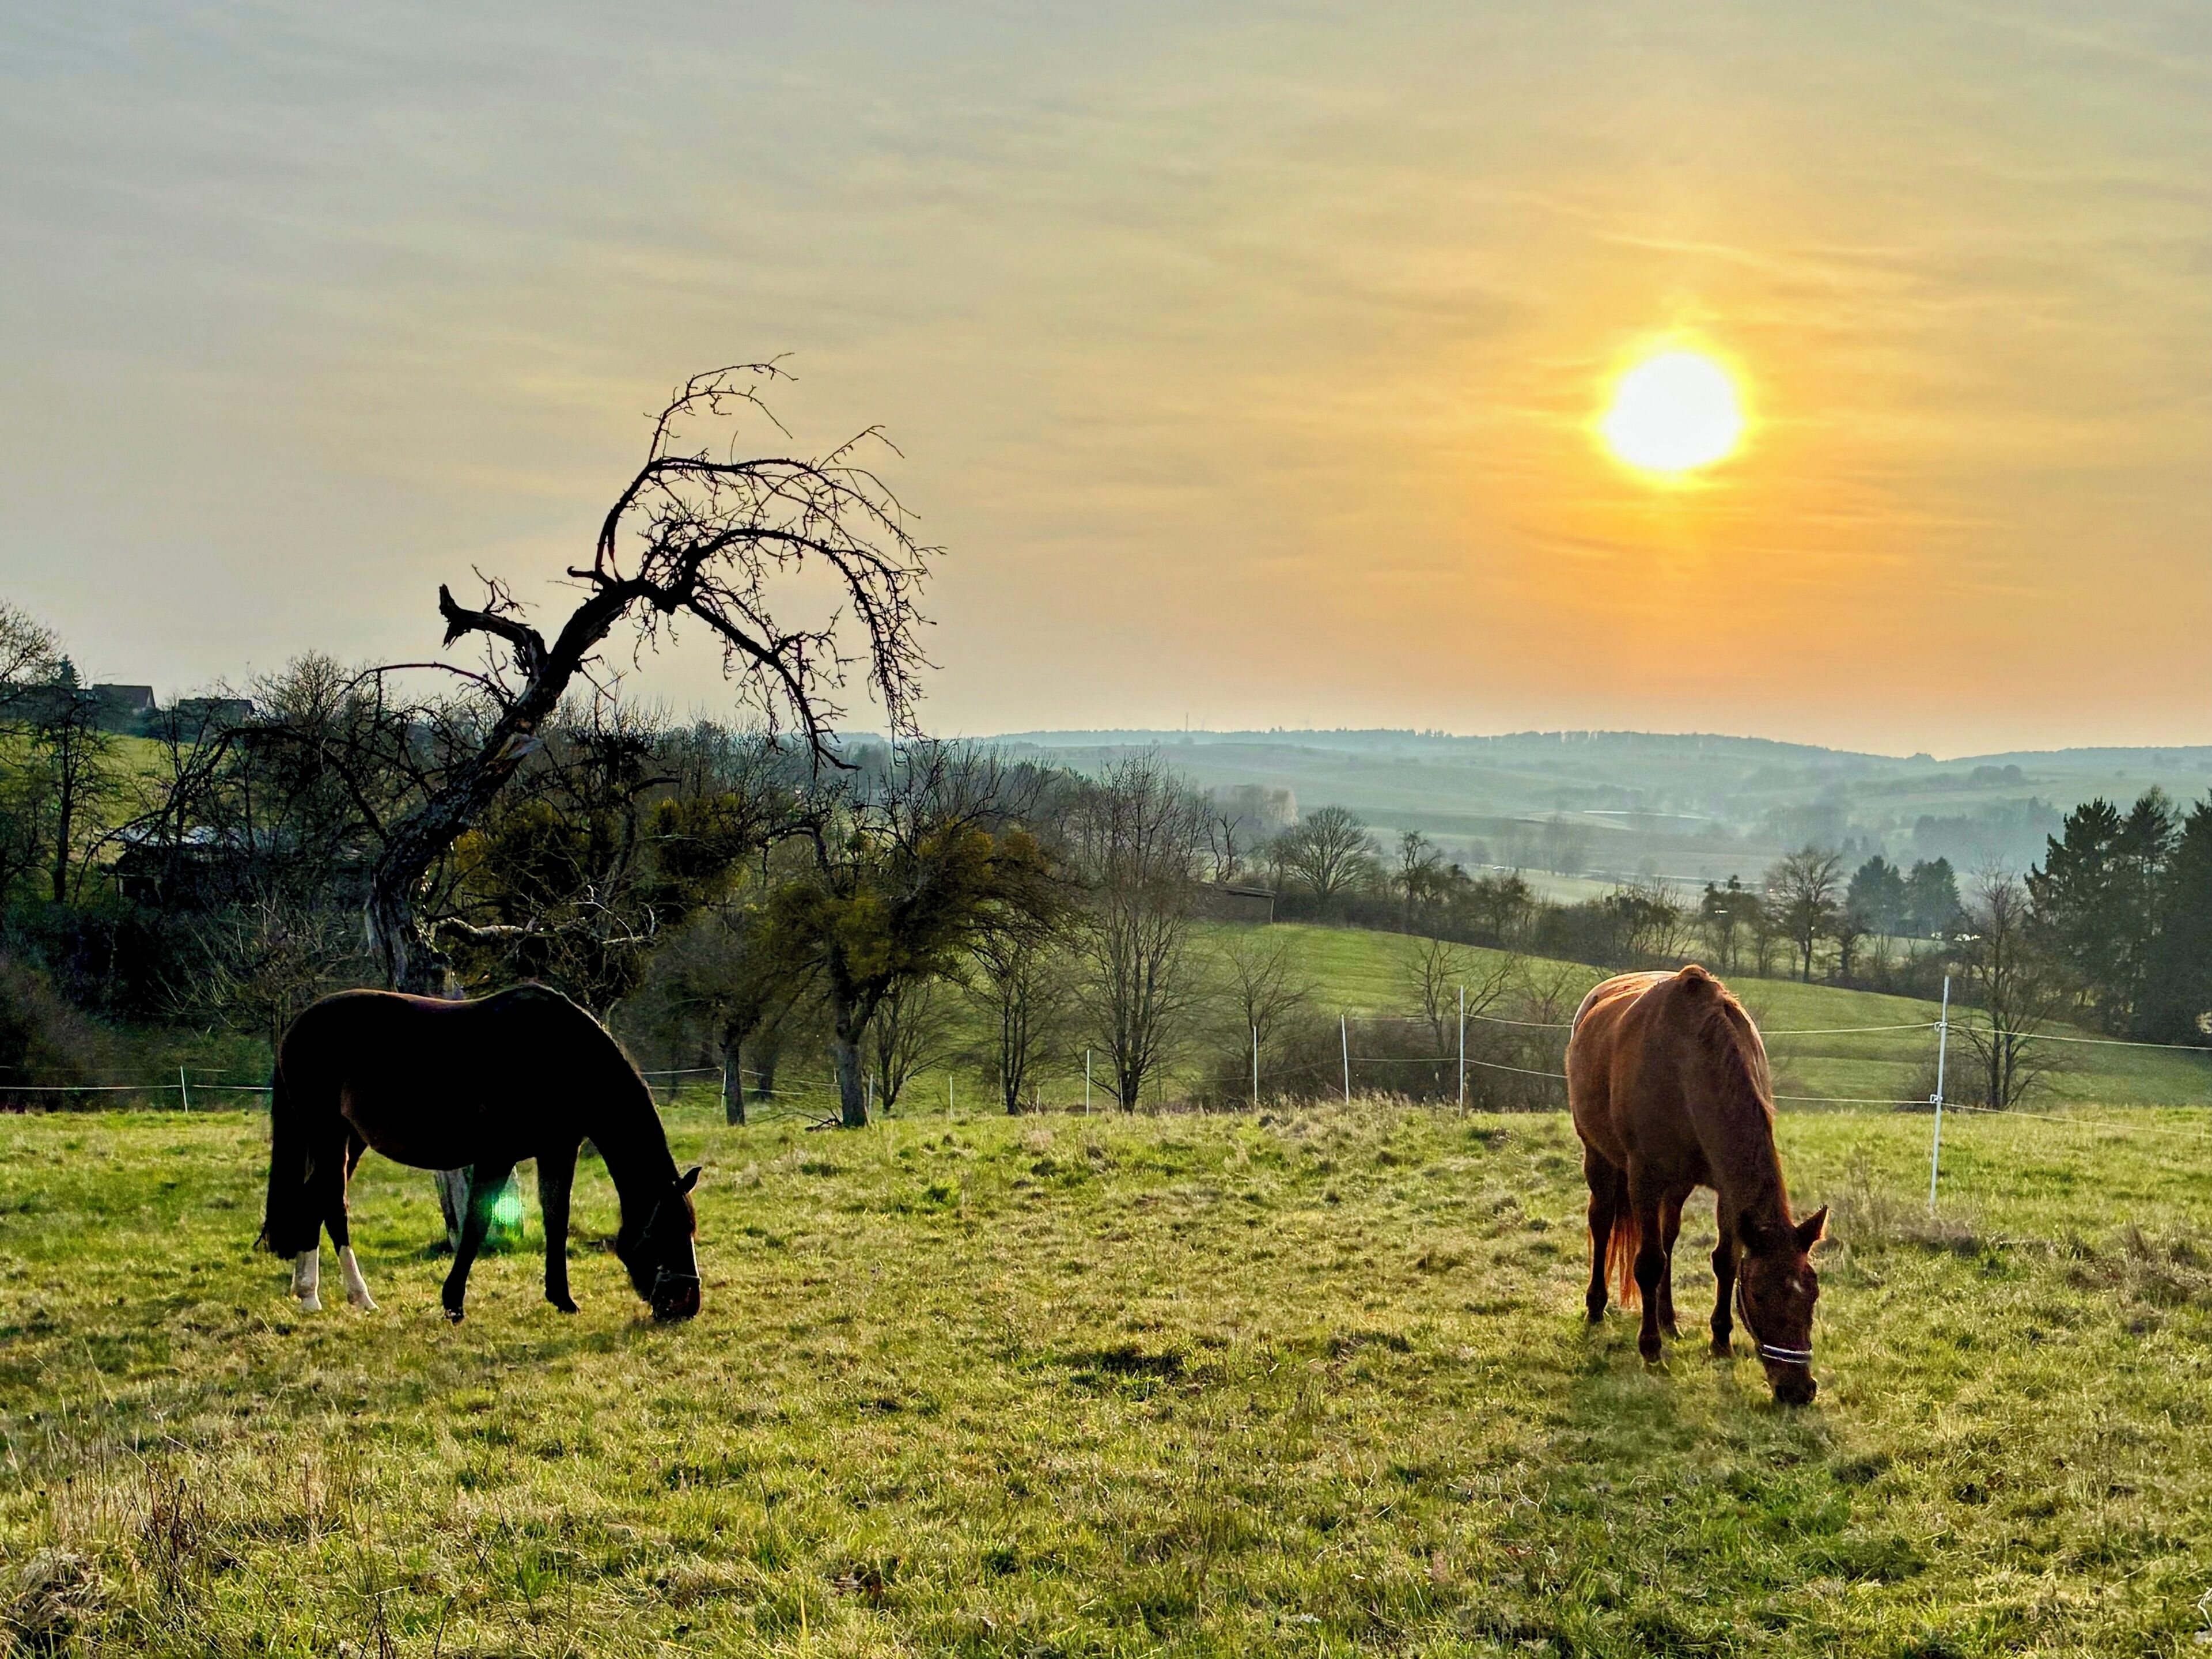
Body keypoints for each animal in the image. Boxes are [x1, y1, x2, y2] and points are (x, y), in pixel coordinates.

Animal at [259, 983, 702, 1324]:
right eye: (664, 1232)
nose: (686, 1306)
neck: (559, 1055)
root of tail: (297, 1027)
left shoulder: (558, 1151)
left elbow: (556, 1220)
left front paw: (562, 1299)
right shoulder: (497, 1156)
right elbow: (476, 1223)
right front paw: (453, 1303)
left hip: (350, 1138)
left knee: (315, 1201)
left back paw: (312, 1294)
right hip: (327, 1133)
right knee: (332, 1202)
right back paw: (351, 1296)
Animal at [1566, 964, 1828, 1405]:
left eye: (1812, 1292)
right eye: (1757, 1293)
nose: (1798, 1390)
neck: (1687, 1061)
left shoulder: (1725, 1191)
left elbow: (1724, 1260)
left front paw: (1720, 1342)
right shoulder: (1644, 1179)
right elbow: (1648, 1263)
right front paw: (1650, 1349)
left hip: (1677, 1187)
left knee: (1668, 1238)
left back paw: (1668, 1319)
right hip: (1599, 1157)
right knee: (1602, 1224)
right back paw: (1597, 1307)